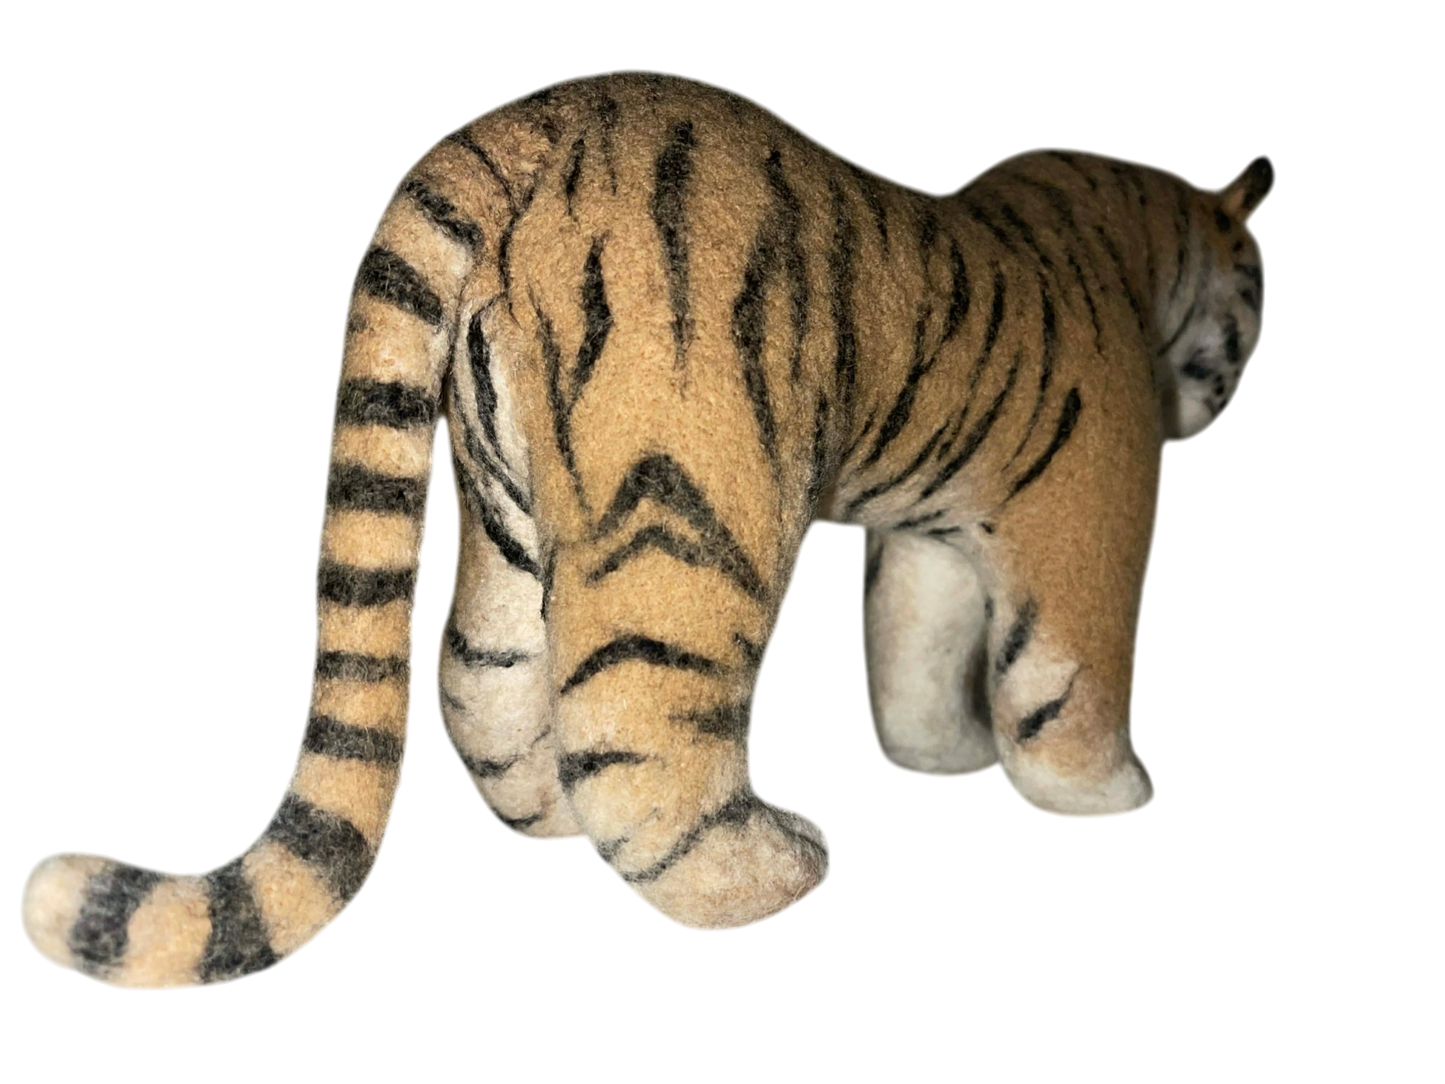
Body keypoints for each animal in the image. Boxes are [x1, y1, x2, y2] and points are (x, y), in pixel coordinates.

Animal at [18, 67, 1274, 990]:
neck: (1140, 248)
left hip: (501, 494)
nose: (1220, 404)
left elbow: (913, 651)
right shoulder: (1092, 504)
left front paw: (941, 758)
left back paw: (547, 823)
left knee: (476, 672)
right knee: (641, 721)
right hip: (691, 502)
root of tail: (520, 130)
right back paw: (770, 872)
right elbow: (1074, 668)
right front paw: (1106, 794)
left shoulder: (925, 529)